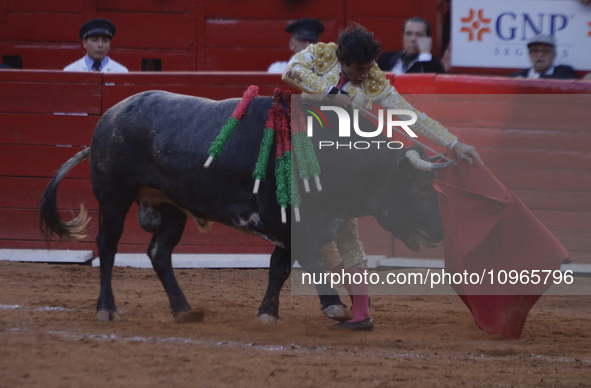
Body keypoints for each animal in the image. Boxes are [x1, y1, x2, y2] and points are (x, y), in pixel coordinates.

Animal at [38, 91, 448, 324]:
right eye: (419, 187)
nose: (438, 230)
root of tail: (110, 116)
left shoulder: (295, 227)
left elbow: (280, 268)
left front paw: (268, 311)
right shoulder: (292, 223)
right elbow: (311, 262)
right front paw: (334, 306)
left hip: (171, 207)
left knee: (159, 252)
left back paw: (183, 309)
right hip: (115, 196)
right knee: (108, 245)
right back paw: (106, 308)